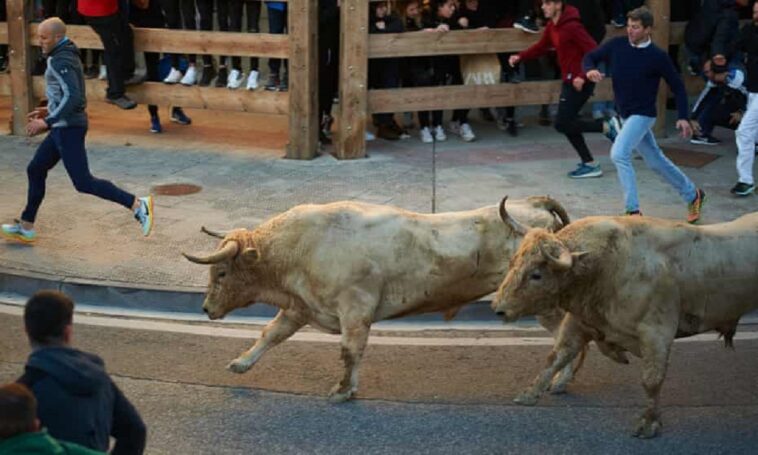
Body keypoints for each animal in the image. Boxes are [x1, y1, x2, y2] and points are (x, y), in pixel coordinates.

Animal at [183, 198, 576, 400]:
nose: (205, 308)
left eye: (221, 272)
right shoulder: (300, 308)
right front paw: (241, 363)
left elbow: (350, 350)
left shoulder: (355, 310)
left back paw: (560, 380)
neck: (300, 247)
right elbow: (270, 335)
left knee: (570, 337)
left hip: (543, 301)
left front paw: (343, 390)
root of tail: (534, 207)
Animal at [492, 201, 758, 440]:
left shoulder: (657, 333)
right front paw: (529, 394)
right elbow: (556, 357)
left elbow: (651, 379)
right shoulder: (580, 322)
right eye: (513, 261)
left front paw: (649, 423)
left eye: (537, 274)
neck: (608, 263)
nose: (498, 309)